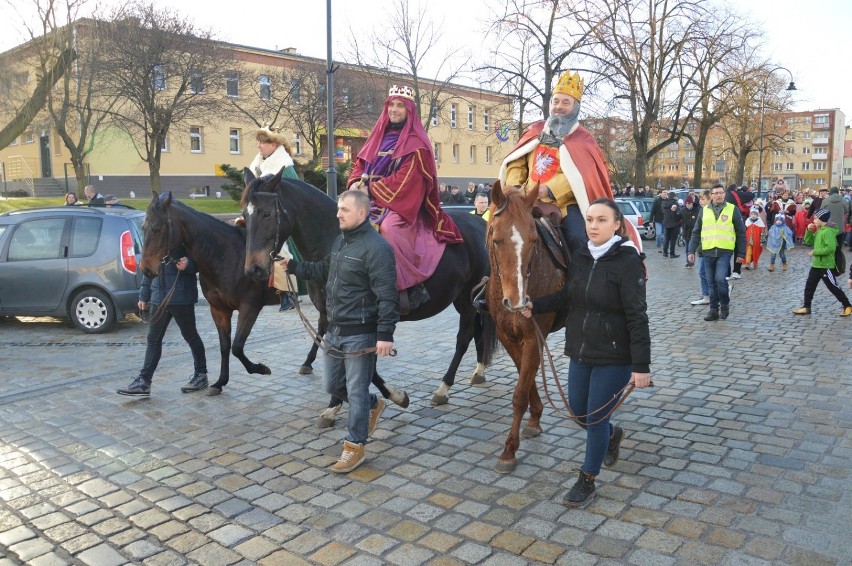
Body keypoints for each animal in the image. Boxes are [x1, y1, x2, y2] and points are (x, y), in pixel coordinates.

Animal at [486, 182, 564, 474]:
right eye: (496, 239)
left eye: (533, 240)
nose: (518, 302)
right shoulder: (508, 336)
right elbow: (525, 376)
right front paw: (535, 417)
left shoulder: (533, 338)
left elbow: (519, 392)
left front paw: (509, 450)